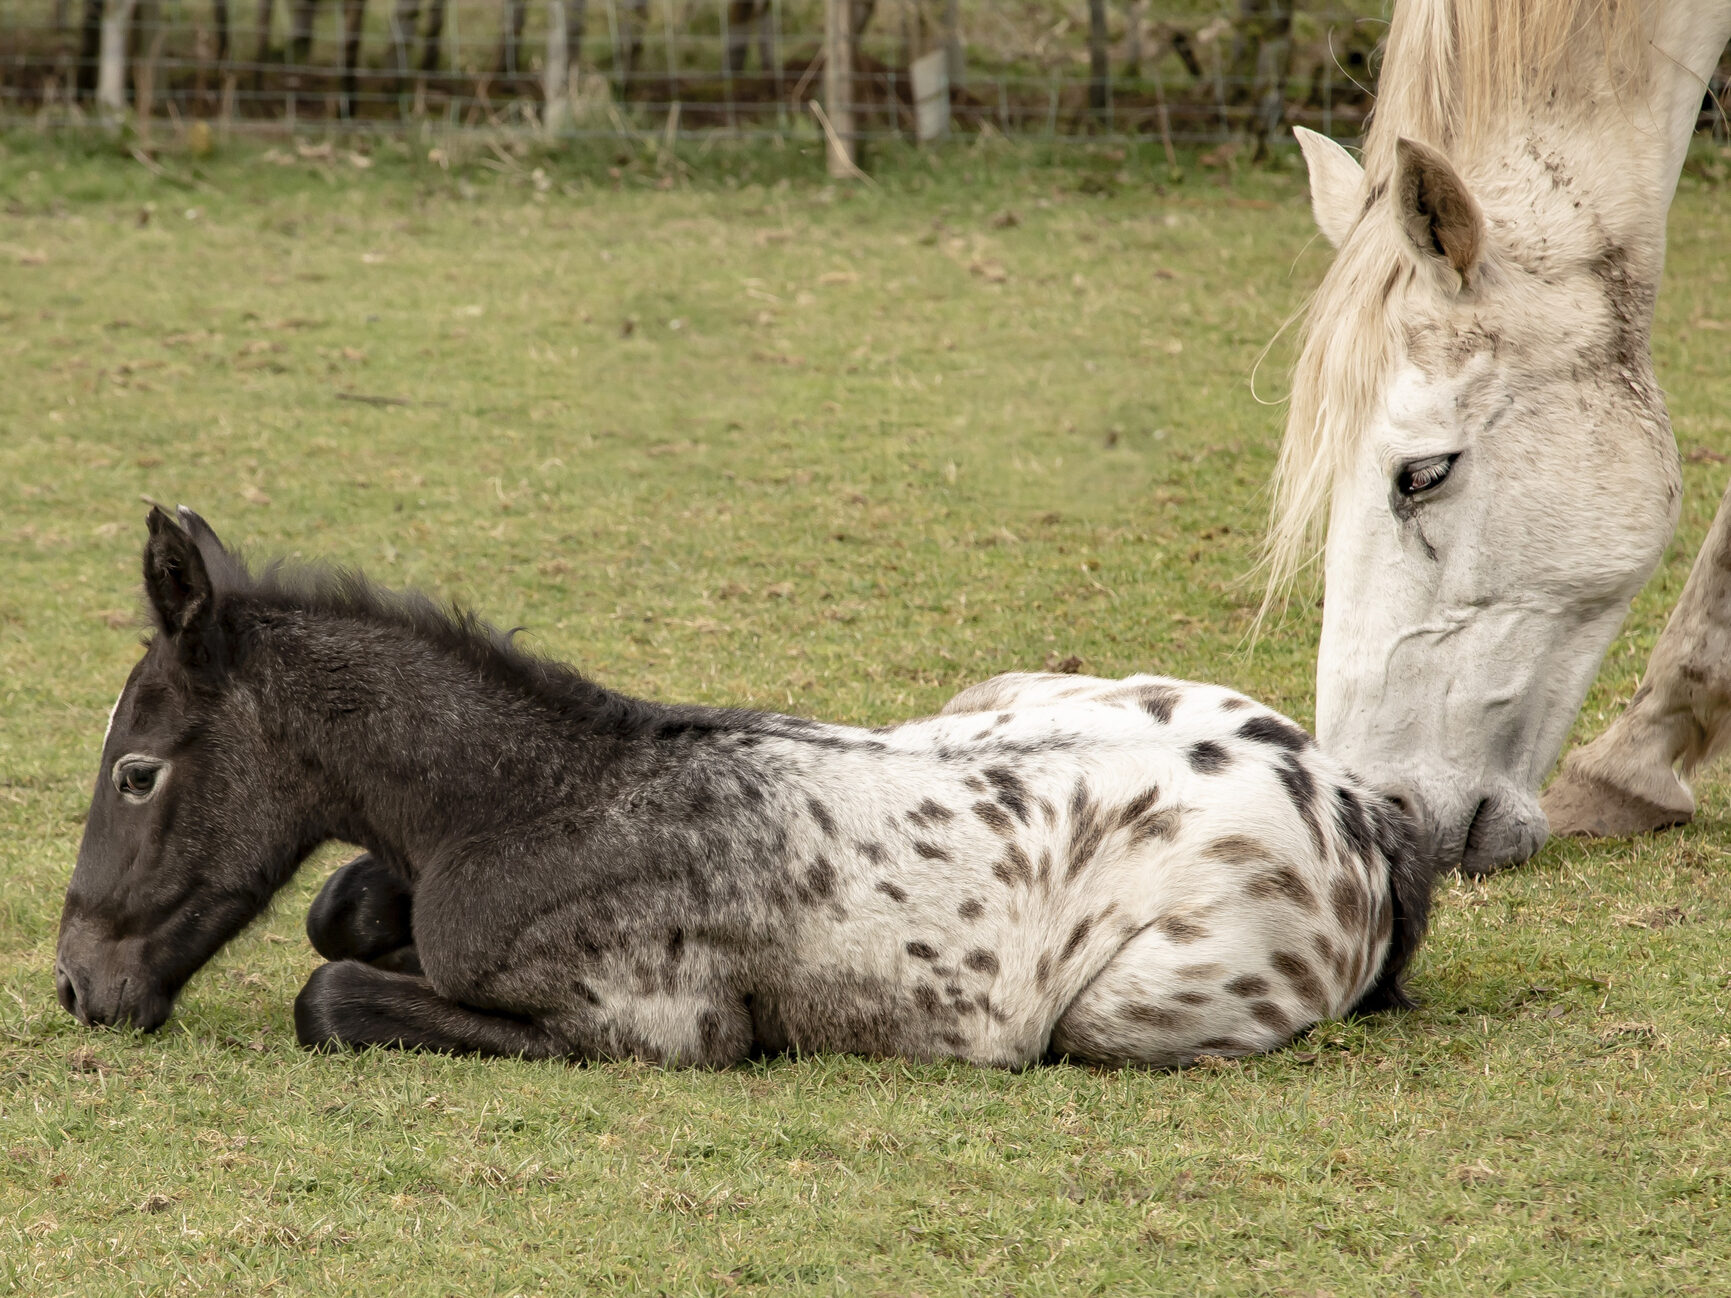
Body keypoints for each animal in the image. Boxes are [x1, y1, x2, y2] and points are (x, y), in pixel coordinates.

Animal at [57, 512, 1433, 1073]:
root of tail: (1355, 807)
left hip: (1127, 1012)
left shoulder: (652, 1028)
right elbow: (337, 909)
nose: (77, 984)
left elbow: (331, 991)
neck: (536, 801)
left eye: (137, 770)